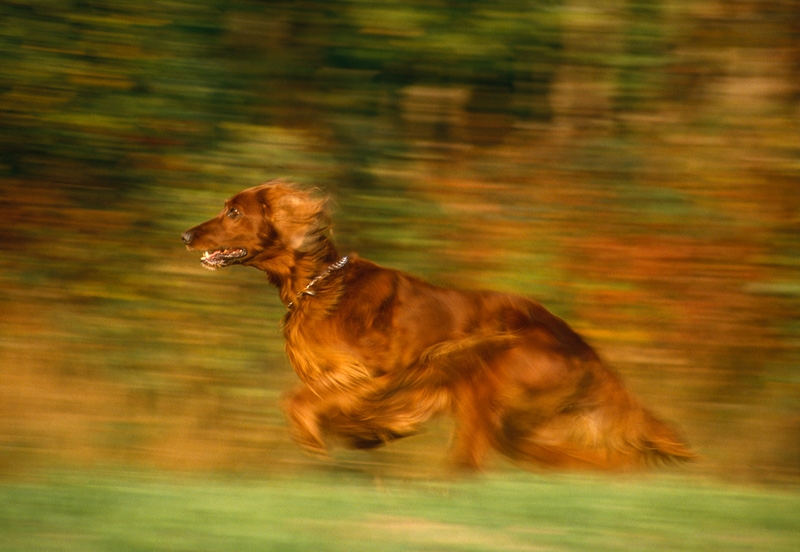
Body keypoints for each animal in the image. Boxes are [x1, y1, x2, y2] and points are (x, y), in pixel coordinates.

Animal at [183, 180, 692, 470]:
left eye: (234, 211)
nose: (186, 235)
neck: (318, 285)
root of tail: (588, 352)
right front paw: (365, 435)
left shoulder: (378, 373)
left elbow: (296, 400)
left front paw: (318, 445)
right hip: (516, 419)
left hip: (492, 371)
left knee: (473, 461)